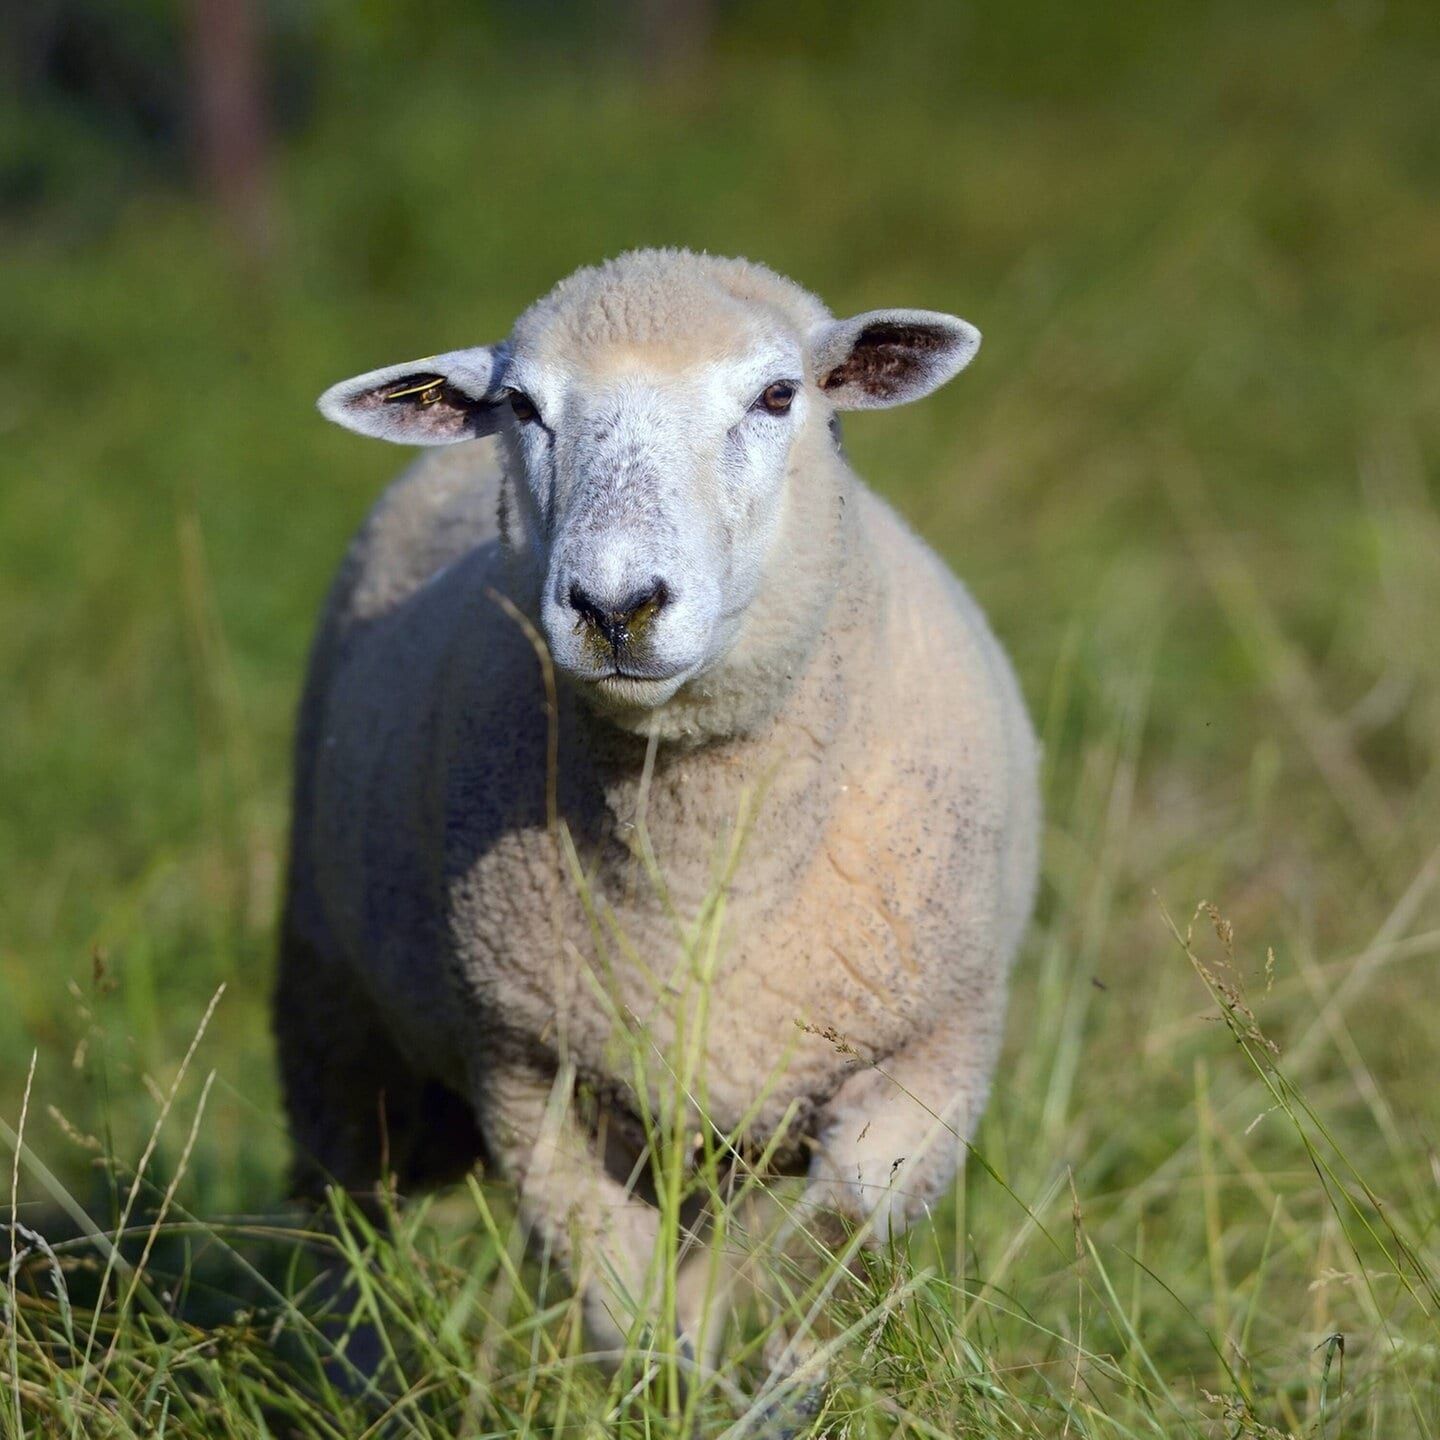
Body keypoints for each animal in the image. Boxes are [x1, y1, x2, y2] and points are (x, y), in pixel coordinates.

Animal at [276, 248, 1040, 1370]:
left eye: (779, 396)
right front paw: (674, 1366)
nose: (614, 606)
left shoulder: (933, 1056)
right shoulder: (526, 1072)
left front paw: (757, 1351)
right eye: (521, 406)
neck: (702, 863)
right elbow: (622, 1300)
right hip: (331, 1002)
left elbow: (820, 1232)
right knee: (343, 1219)